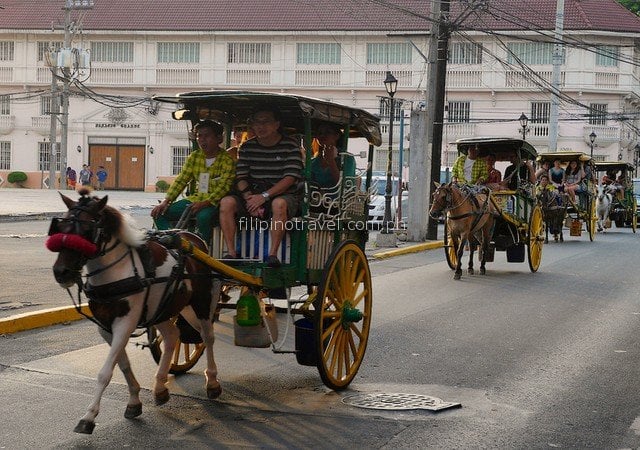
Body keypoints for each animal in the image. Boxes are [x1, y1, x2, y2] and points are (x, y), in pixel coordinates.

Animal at [46, 189, 221, 432]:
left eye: (88, 231)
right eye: (60, 228)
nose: (61, 272)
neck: (117, 270)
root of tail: (195, 240)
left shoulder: (125, 322)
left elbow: (105, 372)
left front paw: (89, 417)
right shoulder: (106, 327)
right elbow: (123, 364)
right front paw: (134, 401)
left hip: (200, 303)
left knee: (207, 336)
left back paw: (212, 382)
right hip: (164, 308)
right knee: (173, 336)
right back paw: (160, 386)